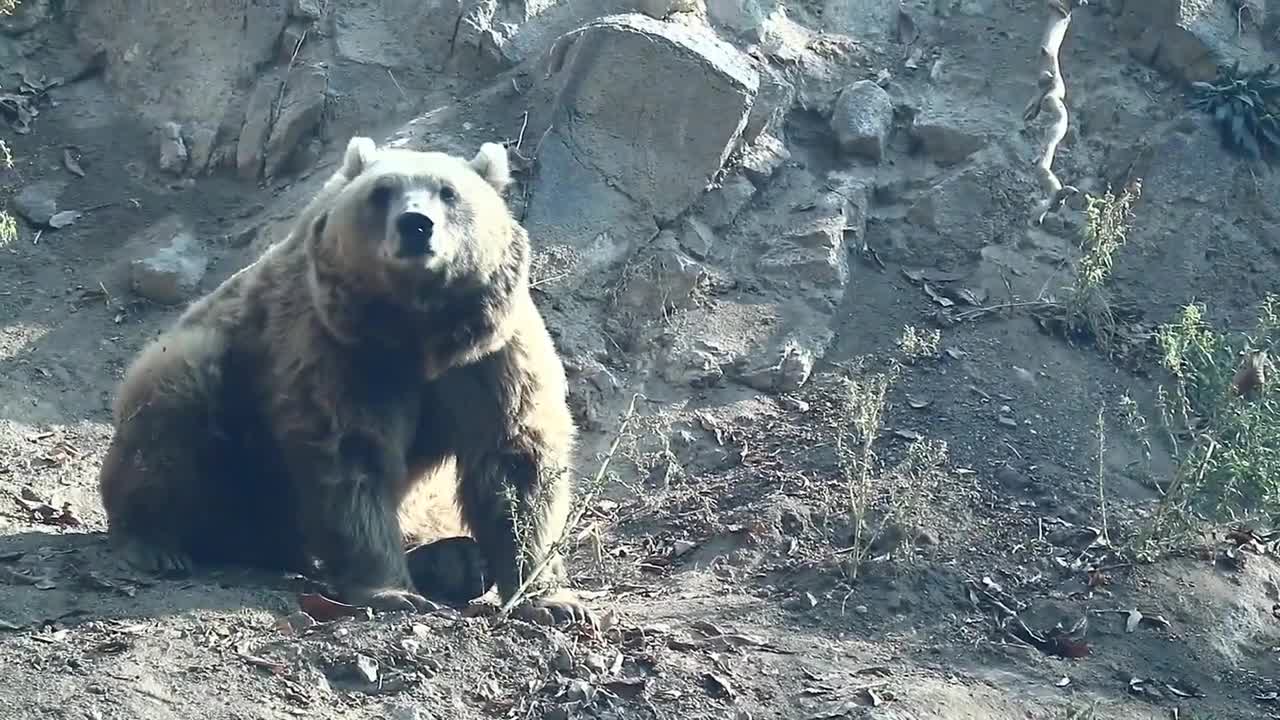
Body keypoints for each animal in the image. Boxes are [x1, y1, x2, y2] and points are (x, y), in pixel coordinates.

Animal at [98, 134, 588, 622]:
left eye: (448, 192)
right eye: (382, 191)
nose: (416, 225)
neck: (418, 328)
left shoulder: (487, 355)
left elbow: (515, 459)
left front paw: (552, 599)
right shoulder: (340, 347)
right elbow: (351, 455)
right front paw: (391, 590)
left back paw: (454, 561)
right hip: (223, 411)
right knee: (173, 404)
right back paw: (156, 543)